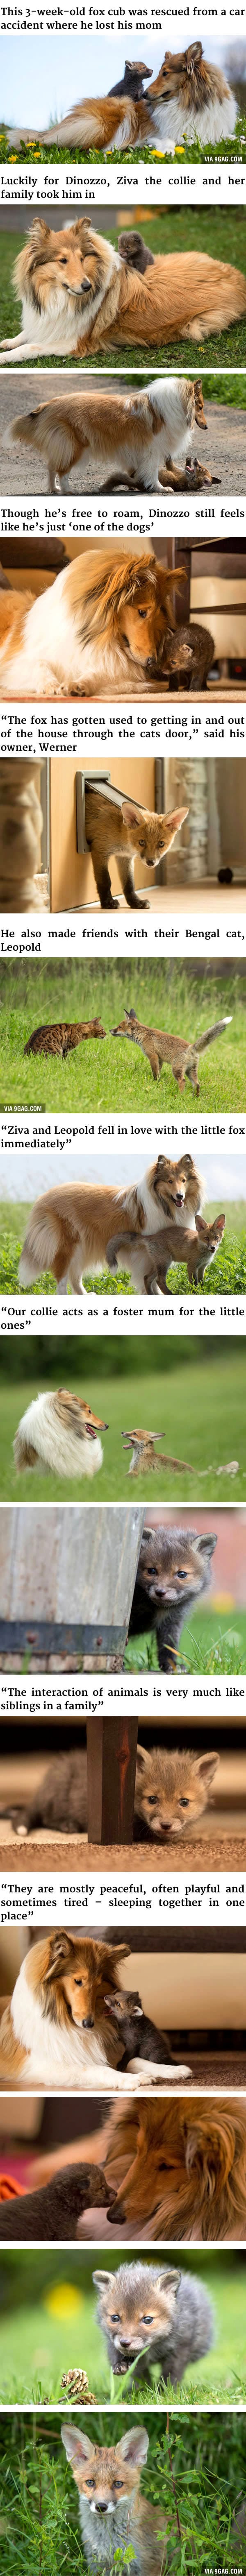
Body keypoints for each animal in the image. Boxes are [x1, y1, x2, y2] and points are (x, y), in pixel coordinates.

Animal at [61, 2422, 166, 2572]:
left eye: (118, 2484)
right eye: (90, 2482)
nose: (101, 2507)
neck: (108, 2540)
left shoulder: (149, 2566)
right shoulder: (96, 2563)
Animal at [93, 2256, 214, 2386]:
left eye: (148, 2320)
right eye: (115, 2318)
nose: (125, 2343)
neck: (152, 2350)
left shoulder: (181, 2348)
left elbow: (171, 2375)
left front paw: (165, 2390)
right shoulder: (113, 2345)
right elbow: (139, 2375)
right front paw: (139, 2387)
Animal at [111, 1005, 232, 1093]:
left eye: (119, 1027)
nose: (110, 1030)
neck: (144, 1035)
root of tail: (191, 1047)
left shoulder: (153, 1056)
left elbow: (155, 1073)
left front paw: (154, 1083)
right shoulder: (160, 1059)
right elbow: (159, 1072)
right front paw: (158, 1083)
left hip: (176, 1069)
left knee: (183, 1081)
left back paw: (179, 1096)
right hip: (190, 1071)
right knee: (197, 1084)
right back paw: (195, 1097)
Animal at [129, 1523, 217, 1671]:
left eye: (182, 1574)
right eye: (152, 1571)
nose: (160, 1592)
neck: (157, 1609)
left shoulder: (172, 1621)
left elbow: (169, 1645)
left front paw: (172, 1666)